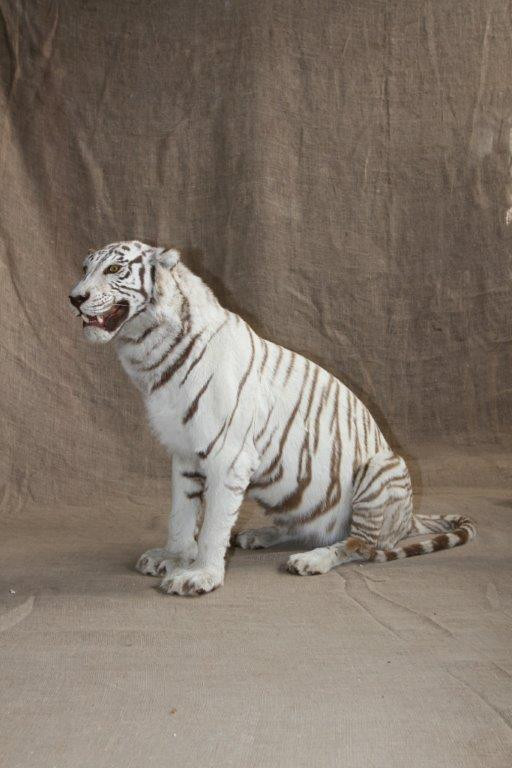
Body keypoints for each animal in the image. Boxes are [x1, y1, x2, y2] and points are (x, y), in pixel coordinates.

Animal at [69, 240, 476, 596]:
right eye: (85, 269)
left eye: (114, 269)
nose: (75, 297)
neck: (150, 352)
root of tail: (408, 518)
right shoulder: (183, 454)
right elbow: (180, 515)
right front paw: (173, 556)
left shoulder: (227, 458)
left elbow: (213, 524)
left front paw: (200, 575)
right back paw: (259, 535)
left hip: (382, 469)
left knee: (360, 544)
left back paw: (312, 560)